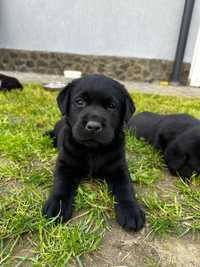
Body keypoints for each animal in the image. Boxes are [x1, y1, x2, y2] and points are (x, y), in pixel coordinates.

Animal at [43, 74, 145, 232]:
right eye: (80, 102)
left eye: (111, 106)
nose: (93, 126)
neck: (92, 150)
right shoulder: (64, 164)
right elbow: (61, 183)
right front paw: (57, 207)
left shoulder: (119, 167)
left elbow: (126, 187)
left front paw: (131, 211)